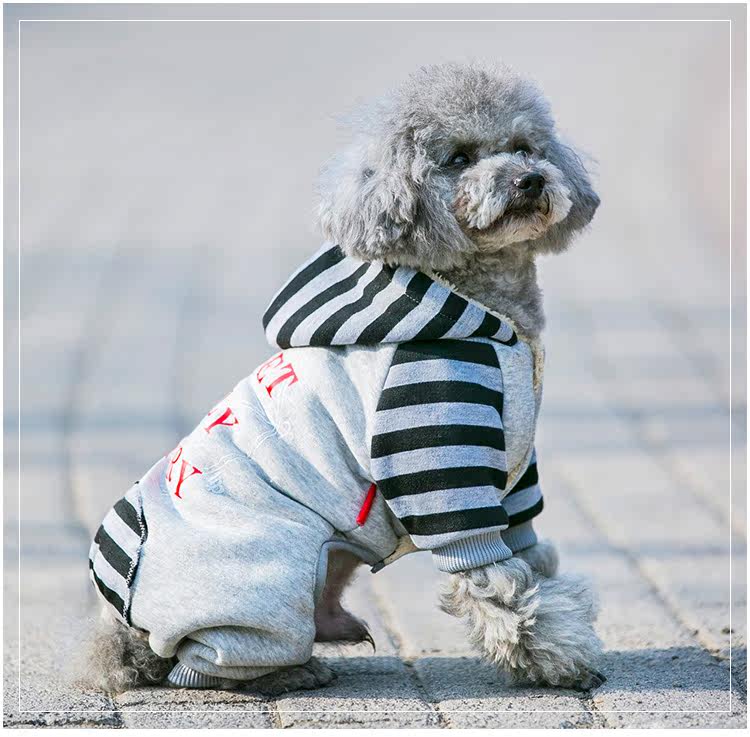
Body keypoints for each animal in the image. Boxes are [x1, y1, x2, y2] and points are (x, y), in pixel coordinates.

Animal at [84, 62, 603, 696]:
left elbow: (528, 558)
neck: (491, 312)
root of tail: (123, 620)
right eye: (458, 158)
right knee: (202, 664)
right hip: (268, 580)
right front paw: (556, 658)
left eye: (525, 147)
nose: (529, 180)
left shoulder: (515, 474)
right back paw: (291, 671)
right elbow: (494, 579)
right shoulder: (437, 454)